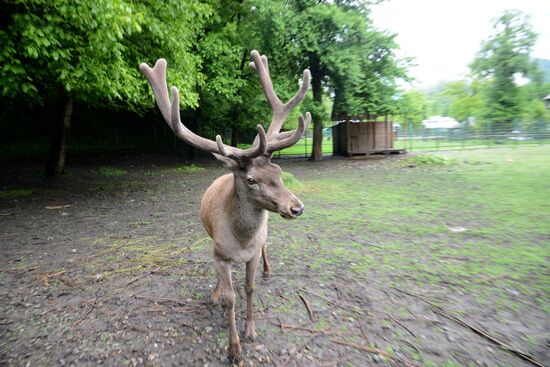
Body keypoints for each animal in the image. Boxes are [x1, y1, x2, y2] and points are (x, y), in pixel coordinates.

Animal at [140, 49, 312, 362]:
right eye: (252, 179)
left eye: (279, 171)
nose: (296, 207)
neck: (241, 241)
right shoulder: (220, 253)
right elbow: (232, 296)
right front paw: (233, 347)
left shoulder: (253, 252)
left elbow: (250, 287)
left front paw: (251, 330)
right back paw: (216, 294)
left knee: (266, 248)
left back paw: (268, 271)